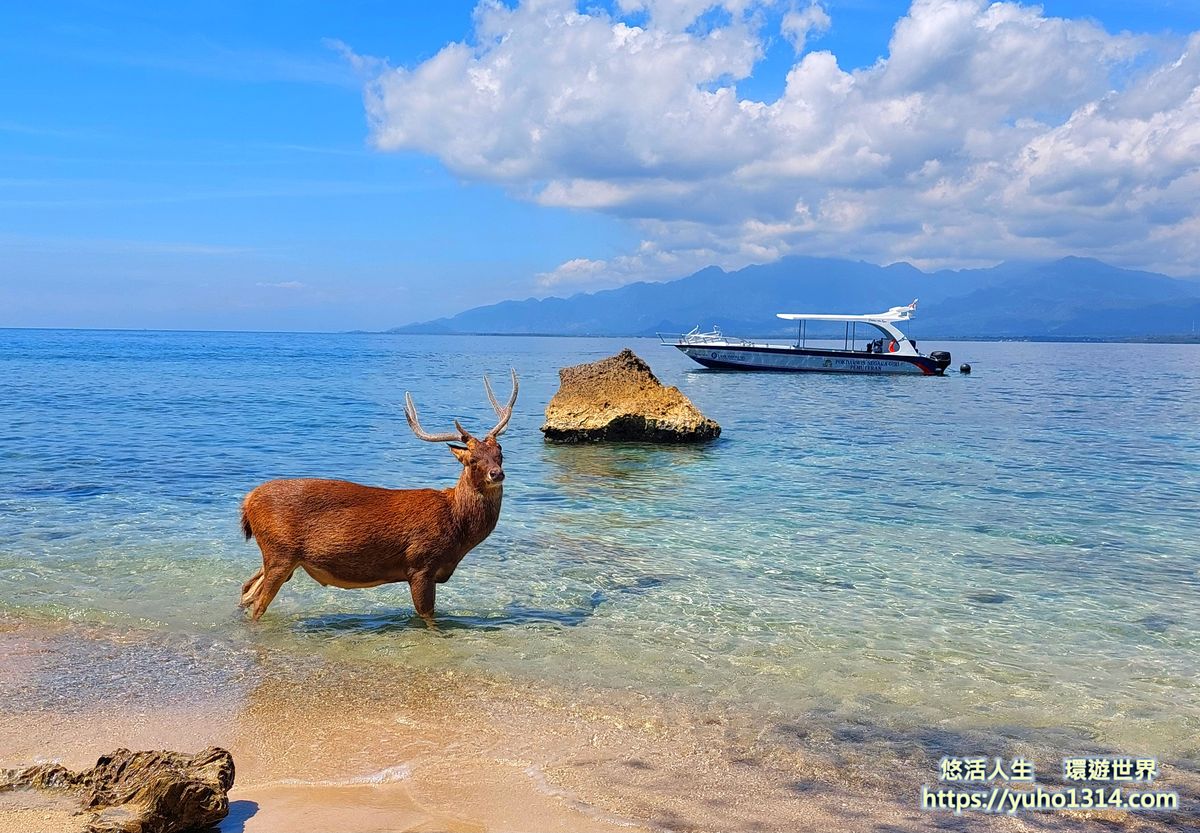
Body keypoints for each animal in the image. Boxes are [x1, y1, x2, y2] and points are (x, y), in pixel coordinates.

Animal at [237, 370, 518, 625]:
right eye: (472, 460)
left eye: (499, 453)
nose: (496, 473)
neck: (458, 528)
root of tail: (247, 501)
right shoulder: (420, 563)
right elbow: (427, 617)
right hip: (280, 552)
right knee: (258, 603)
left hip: (280, 557)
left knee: (246, 590)